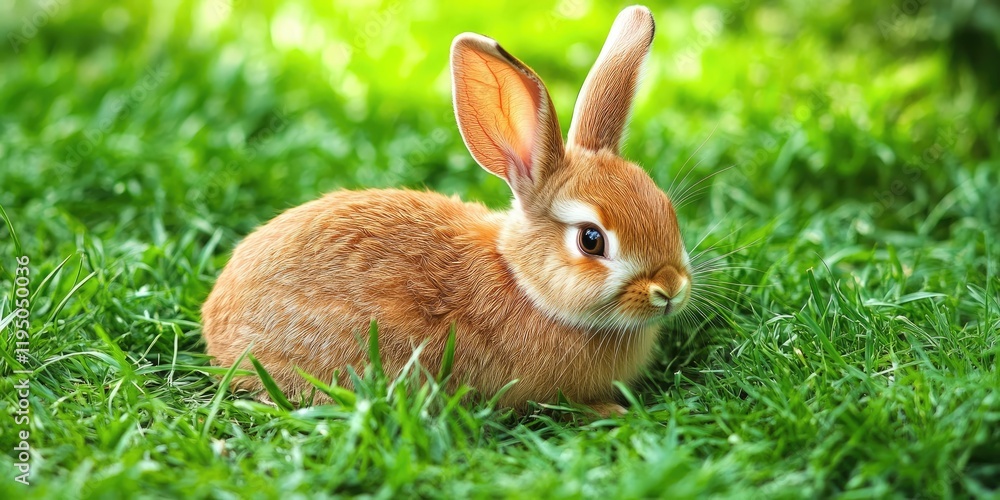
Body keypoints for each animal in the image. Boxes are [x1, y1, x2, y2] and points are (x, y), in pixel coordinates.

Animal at [201, 5, 692, 416]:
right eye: (591, 240)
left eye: (666, 208)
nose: (670, 288)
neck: (523, 284)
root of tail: (215, 319)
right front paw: (612, 411)